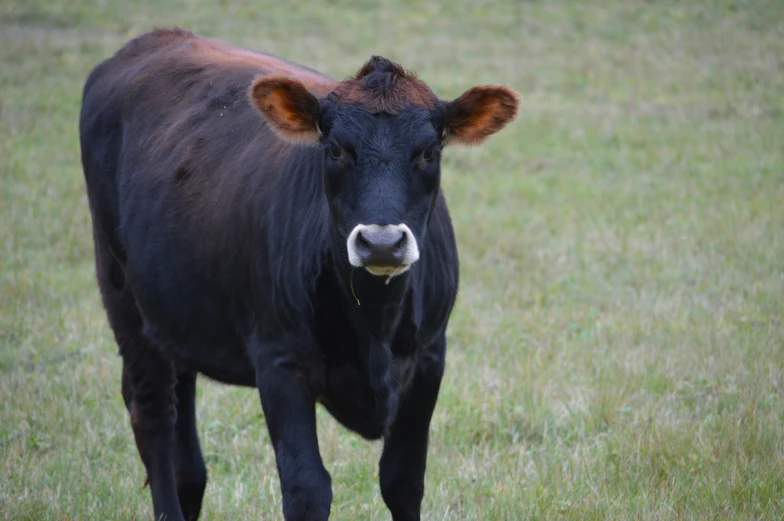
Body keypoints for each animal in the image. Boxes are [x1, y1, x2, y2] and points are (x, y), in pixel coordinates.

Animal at [79, 29, 520, 520]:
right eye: (336, 150)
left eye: (428, 152)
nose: (381, 242)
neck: (375, 321)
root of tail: (154, 39)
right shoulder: (279, 361)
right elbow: (307, 488)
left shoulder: (429, 357)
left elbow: (404, 481)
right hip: (121, 294)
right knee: (153, 417)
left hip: (174, 308)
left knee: (184, 442)